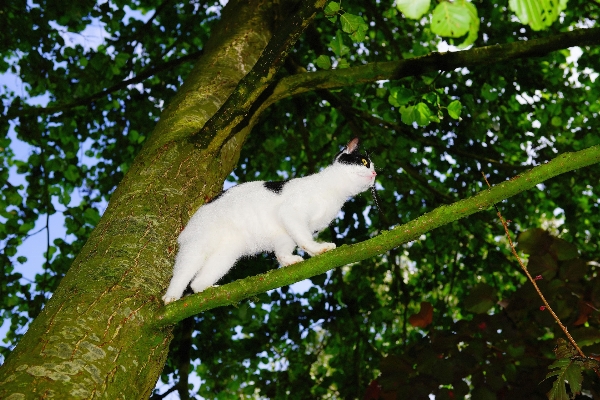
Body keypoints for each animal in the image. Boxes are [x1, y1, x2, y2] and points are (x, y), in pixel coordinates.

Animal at [163, 138, 376, 304]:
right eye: (364, 161)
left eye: (373, 167)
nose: (374, 174)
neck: (336, 194)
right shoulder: (291, 212)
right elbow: (305, 240)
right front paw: (318, 249)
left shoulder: (285, 234)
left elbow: (282, 251)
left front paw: (289, 260)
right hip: (197, 248)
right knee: (182, 275)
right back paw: (170, 298)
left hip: (226, 255)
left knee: (196, 283)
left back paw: (210, 291)